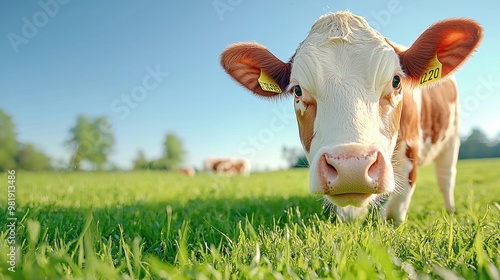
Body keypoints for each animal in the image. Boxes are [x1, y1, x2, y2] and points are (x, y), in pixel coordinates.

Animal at [221, 12, 482, 224]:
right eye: (297, 90)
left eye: (396, 81)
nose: (352, 167)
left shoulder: (411, 150)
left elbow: (394, 213)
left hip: (451, 138)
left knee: (446, 177)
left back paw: (450, 211)